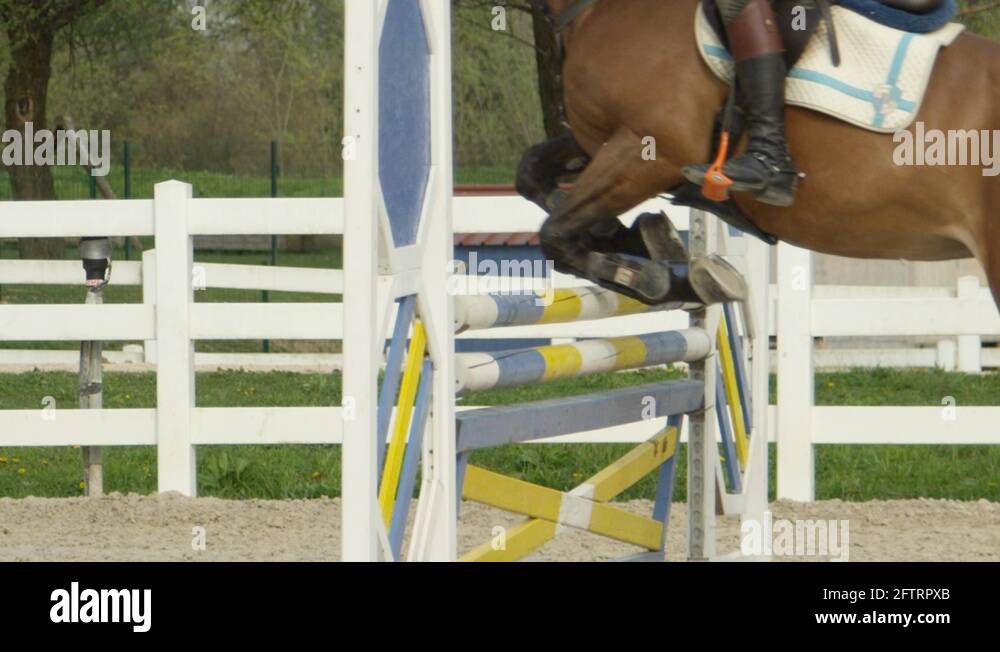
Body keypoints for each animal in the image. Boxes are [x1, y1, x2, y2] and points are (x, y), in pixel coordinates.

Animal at [517, 0, 1000, 307]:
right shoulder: (602, 142)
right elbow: (532, 177)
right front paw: (633, 237)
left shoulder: (647, 150)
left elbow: (555, 236)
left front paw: (654, 277)